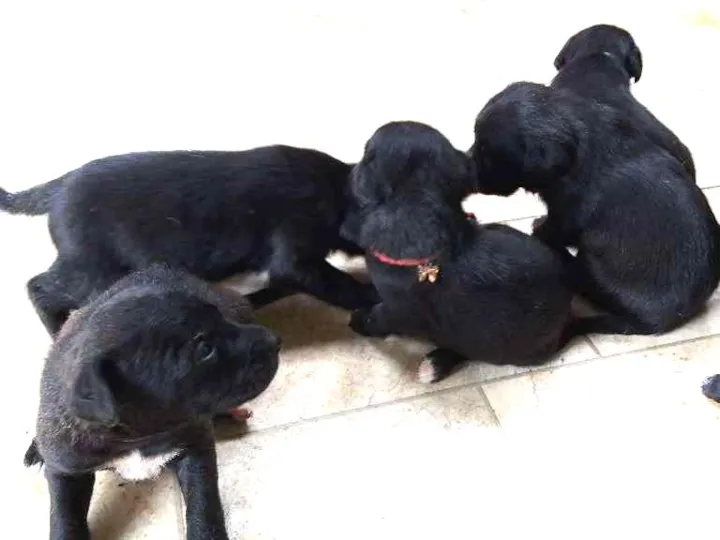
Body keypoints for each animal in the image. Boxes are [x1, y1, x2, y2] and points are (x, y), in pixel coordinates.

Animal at [0, 146, 377, 336]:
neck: (337, 188)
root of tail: (59, 185)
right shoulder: (295, 257)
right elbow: (340, 284)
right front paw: (374, 295)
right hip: (92, 269)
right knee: (39, 286)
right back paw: (57, 330)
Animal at [24, 264, 280, 540]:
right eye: (204, 350)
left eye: (219, 320)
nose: (274, 340)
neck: (140, 436)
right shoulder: (65, 470)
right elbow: (63, 518)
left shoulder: (196, 443)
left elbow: (204, 503)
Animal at [471, 81, 720, 335]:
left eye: (488, 153)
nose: (468, 170)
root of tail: (653, 323)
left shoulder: (566, 213)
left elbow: (553, 227)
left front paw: (538, 227)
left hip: (594, 264)